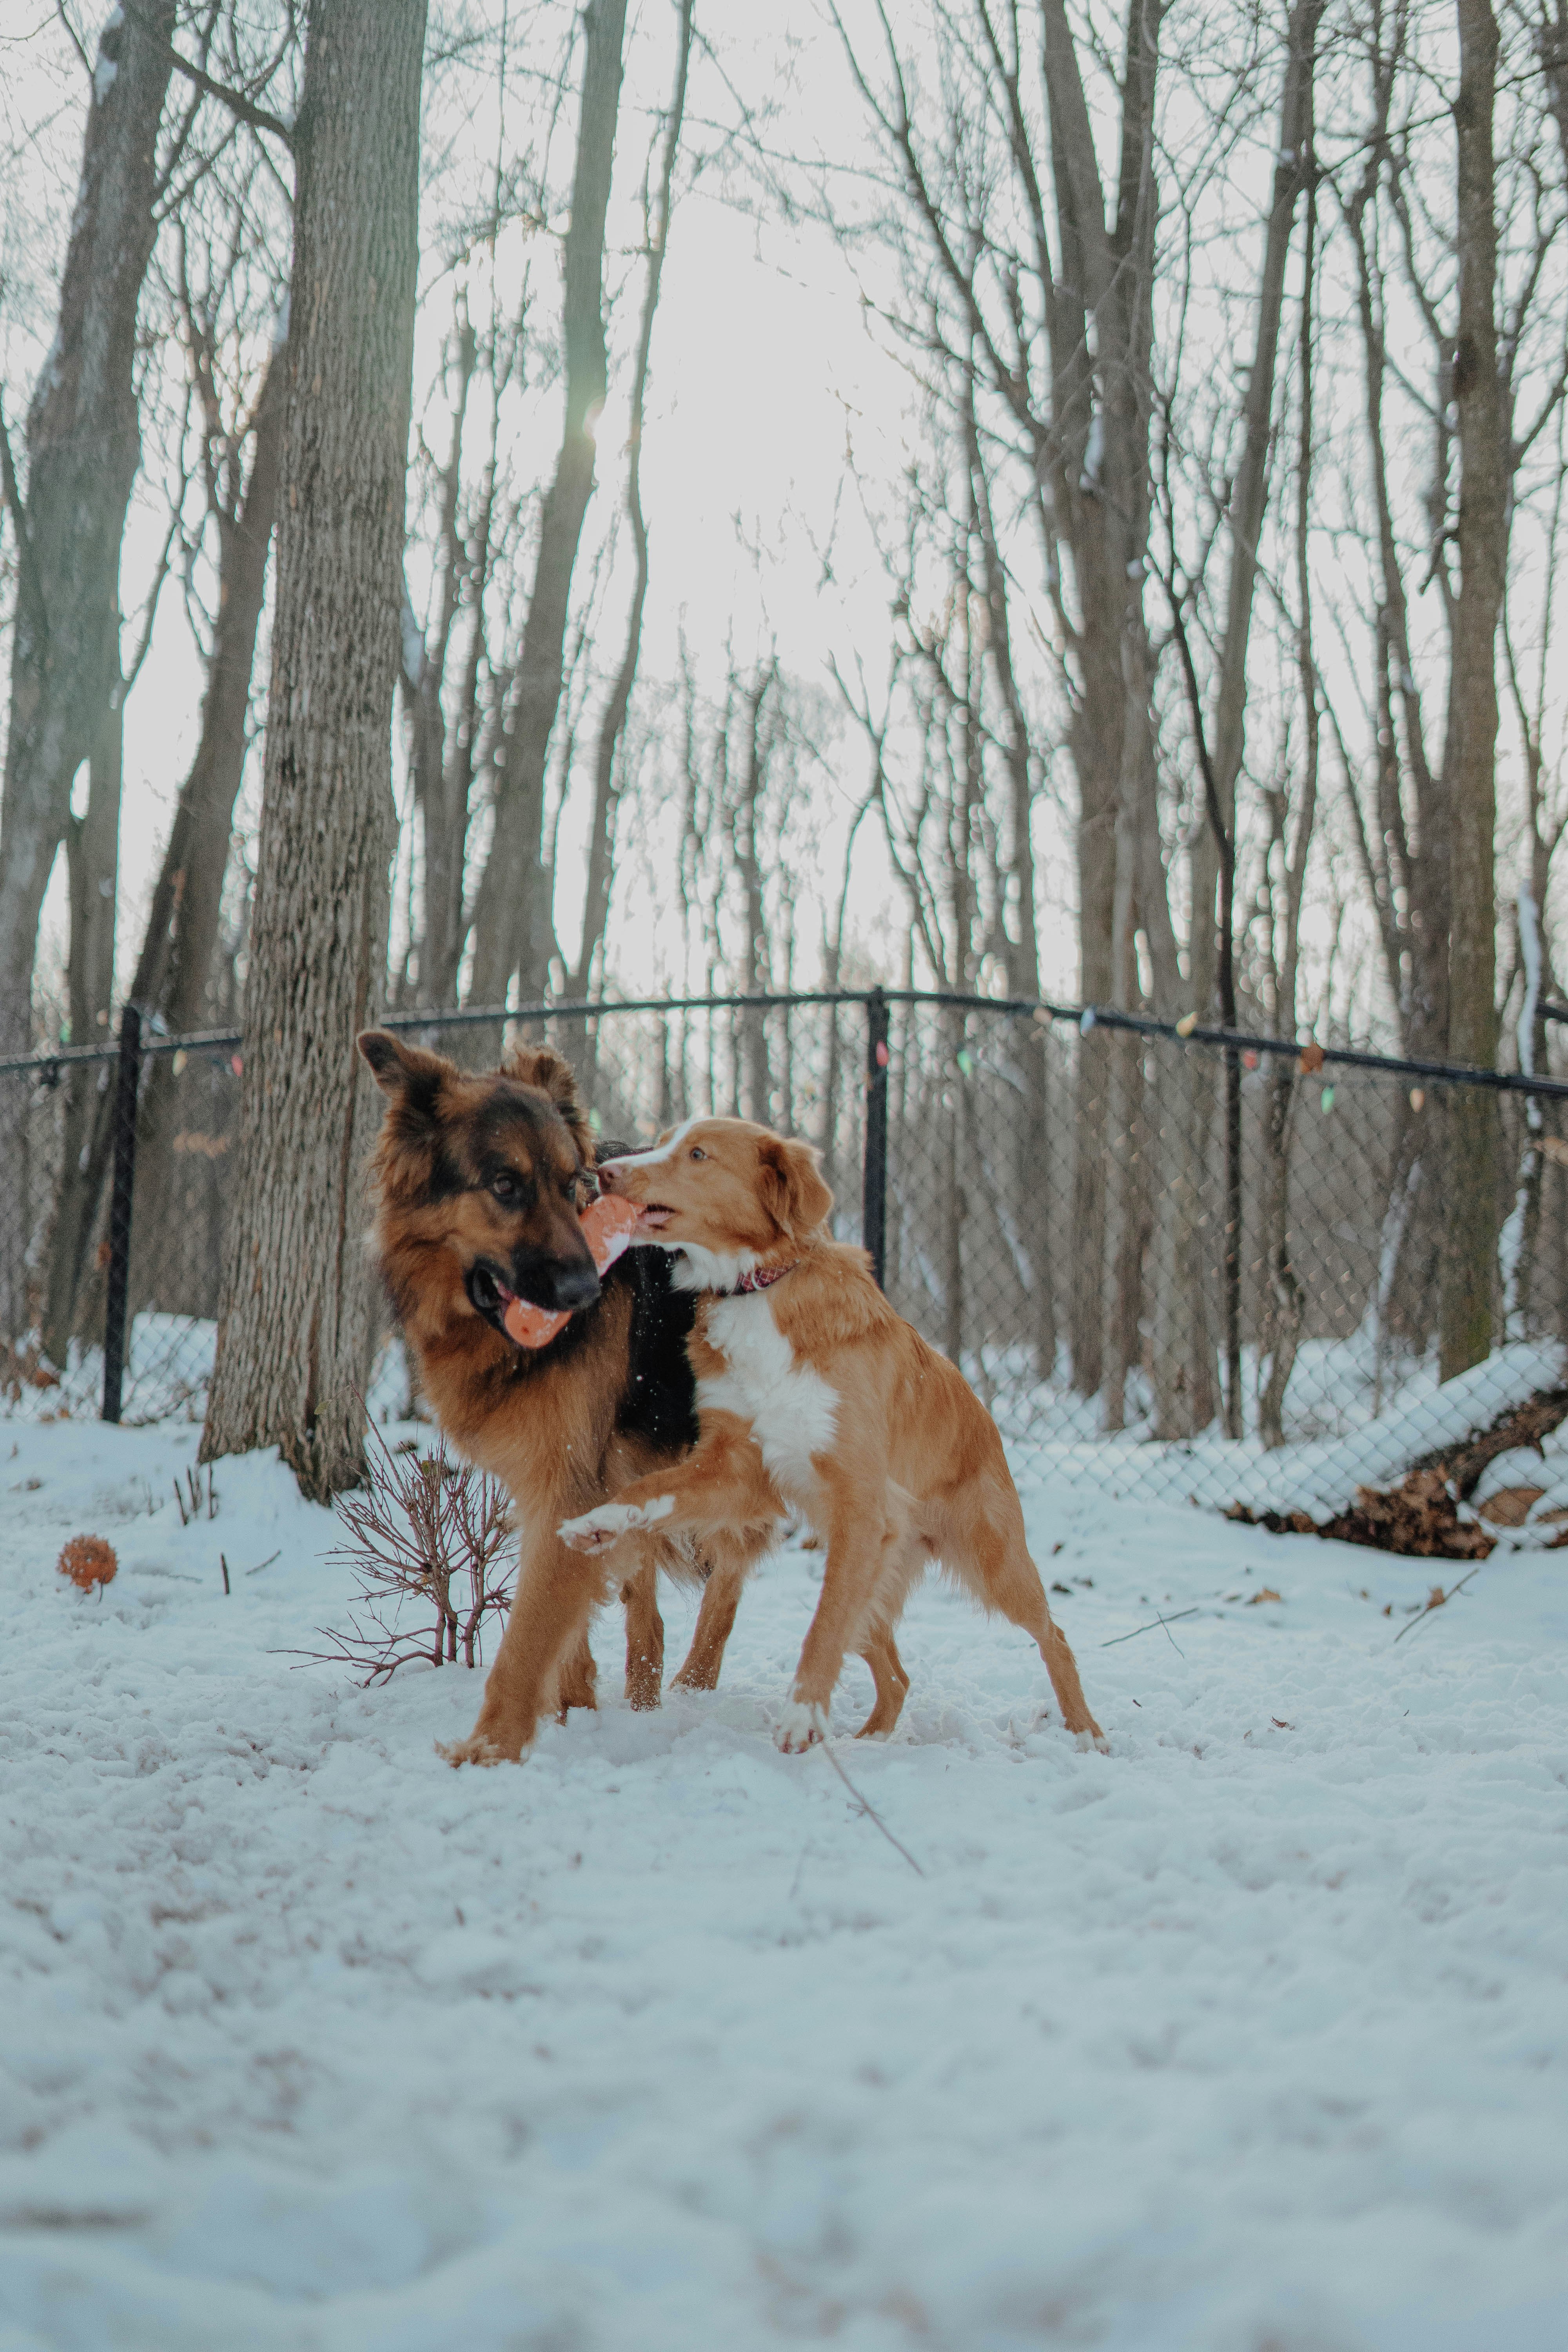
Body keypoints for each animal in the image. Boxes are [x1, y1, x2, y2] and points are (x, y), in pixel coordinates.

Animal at [355, 1035, 771, 1769]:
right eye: (505, 1185)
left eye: (575, 1184)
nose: (584, 1291)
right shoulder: (561, 1482)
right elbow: (565, 1625)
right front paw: (574, 1712)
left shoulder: (565, 1482)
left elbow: (526, 1641)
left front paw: (489, 1750)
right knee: (647, 1609)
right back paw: (644, 1699)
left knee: (728, 1568)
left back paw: (695, 1687)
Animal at [562, 1115, 1105, 1750]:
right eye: (666, 1139)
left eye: (698, 1154)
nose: (604, 1172)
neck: (760, 1288)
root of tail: (983, 1416)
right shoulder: (736, 1466)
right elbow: (654, 1488)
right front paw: (600, 1522)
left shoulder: (859, 1503)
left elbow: (823, 1627)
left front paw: (801, 1715)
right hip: (873, 1570)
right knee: (895, 1674)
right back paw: (869, 1740)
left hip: (988, 1561)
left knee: (1054, 1637)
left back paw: (1087, 1732)